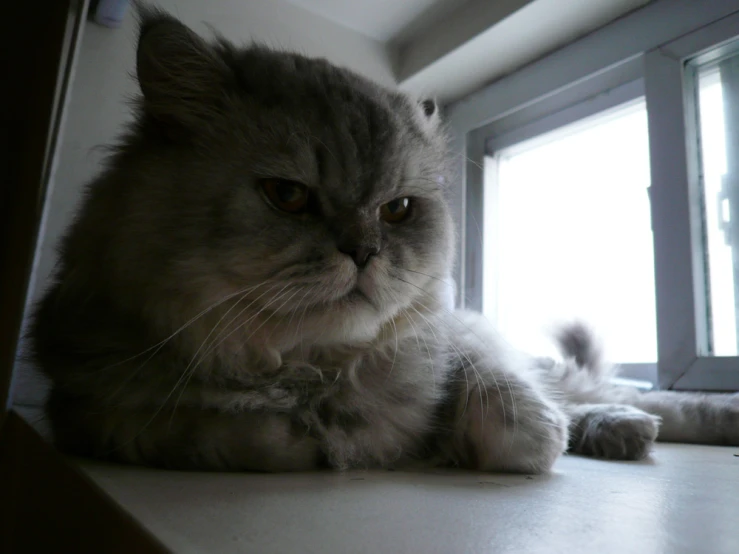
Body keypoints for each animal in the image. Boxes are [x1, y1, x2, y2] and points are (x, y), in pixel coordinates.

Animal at [26, 3, 736, 470]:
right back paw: (620, 433)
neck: (311, 370)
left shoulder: (453, 336)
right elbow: (243, 440)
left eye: (396, 211)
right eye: (288, 196)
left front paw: (530, 435)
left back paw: (652, 424)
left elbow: (506, 412)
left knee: (633, 398)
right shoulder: (104, 420)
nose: (363, 252)